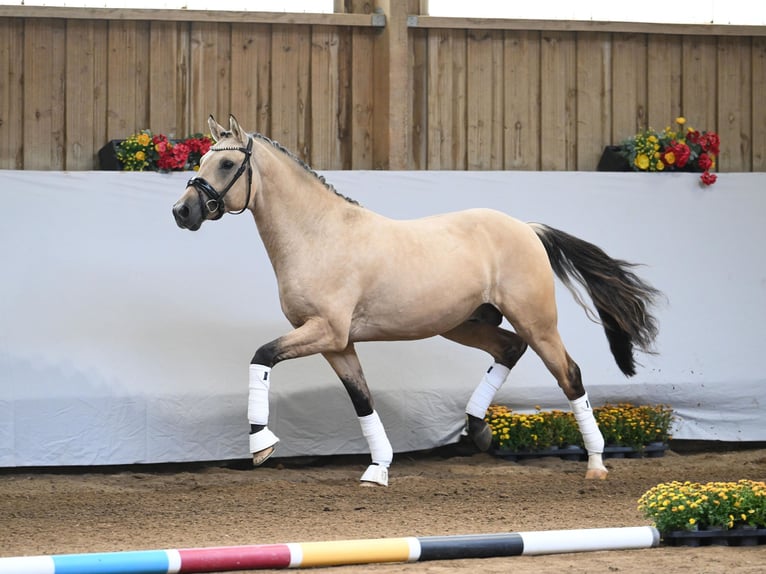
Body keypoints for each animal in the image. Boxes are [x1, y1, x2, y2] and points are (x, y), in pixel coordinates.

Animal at [172, 115, 661, 486]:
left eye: (227, 163)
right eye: (201, 160)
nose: (183, 211)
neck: (319, 235)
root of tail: (526, 228)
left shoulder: (324, 331)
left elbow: (261, 357)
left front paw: (261, 445)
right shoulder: (337, 343)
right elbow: (361, 399)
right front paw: (378, 470)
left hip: (536, 321)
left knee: (569, 375)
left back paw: (596, 465)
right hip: (464, 323)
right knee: (509, 349)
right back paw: (478, 431)